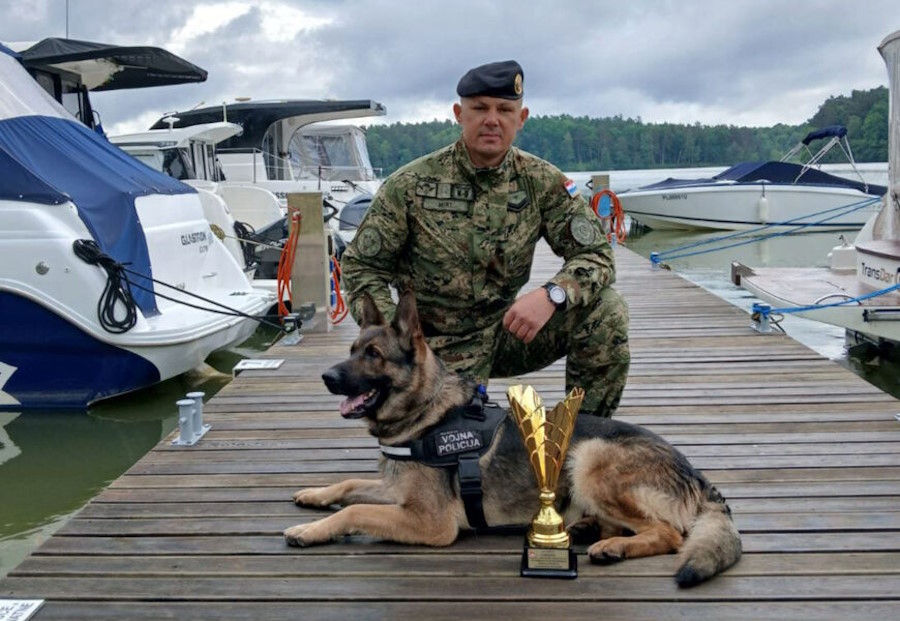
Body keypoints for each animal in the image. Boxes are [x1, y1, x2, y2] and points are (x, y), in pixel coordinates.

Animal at [284, 290, 740, 588]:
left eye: (374, 355)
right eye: (352, 349)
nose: (326, 377)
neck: (427, 411)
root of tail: (697, 475)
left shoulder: (430, 522)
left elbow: (355, 510)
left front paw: (310, 530)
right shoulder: (396, 492)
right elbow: (349, 486)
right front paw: (315, 495)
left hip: (590, 457)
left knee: (669, 533)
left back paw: (612, 546)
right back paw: (588, 527)